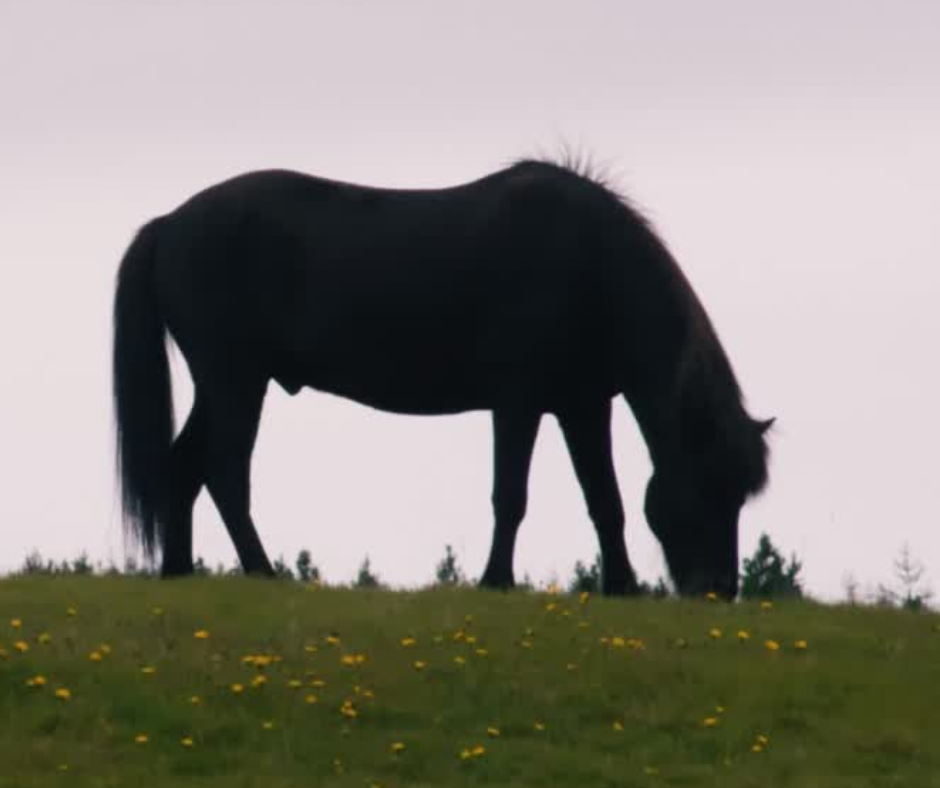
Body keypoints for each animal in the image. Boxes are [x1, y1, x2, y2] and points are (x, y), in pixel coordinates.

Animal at [113, 158, 771, 597]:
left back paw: (178, 572)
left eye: (741, 493)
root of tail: (169, 224)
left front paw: (622, 588)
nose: (719, 590)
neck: (591, 267)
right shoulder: (518, 402)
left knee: (184, 465)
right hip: (235, 381)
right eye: (713, 486)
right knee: (225, 473)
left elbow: (604, 500)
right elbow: (511, 496)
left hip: (222, 385)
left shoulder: (583, 406)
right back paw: (262, 572)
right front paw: (496, 581)